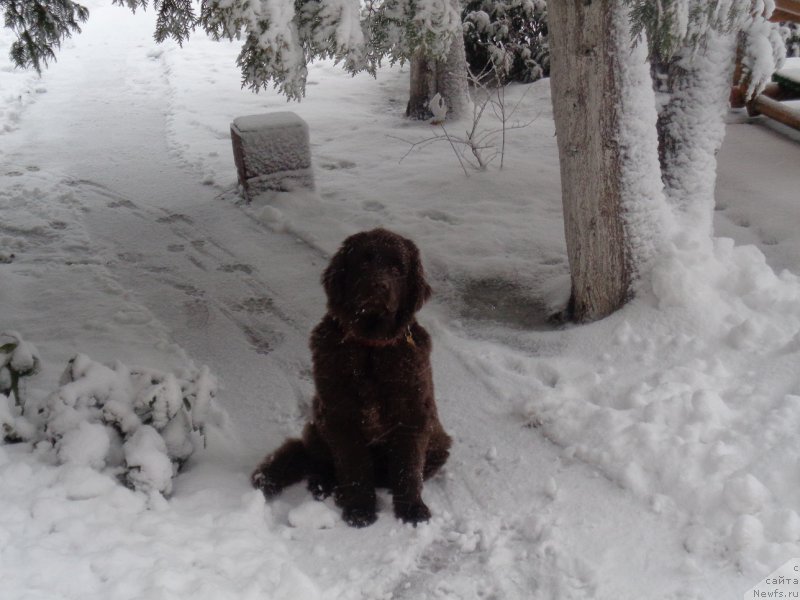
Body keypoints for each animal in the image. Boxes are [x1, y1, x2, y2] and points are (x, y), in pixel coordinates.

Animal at [250, 227, 450, 528]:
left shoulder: (413, 414)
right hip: (318, 425)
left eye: (397, 268)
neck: (370, 349)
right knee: (315, 459)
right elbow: (354, 467)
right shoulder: (342, 416)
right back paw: (323, 485)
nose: (379, 286)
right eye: (364, 263)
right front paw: (359, 509)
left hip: (439, 445)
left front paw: (412, 509)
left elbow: (408, 468)